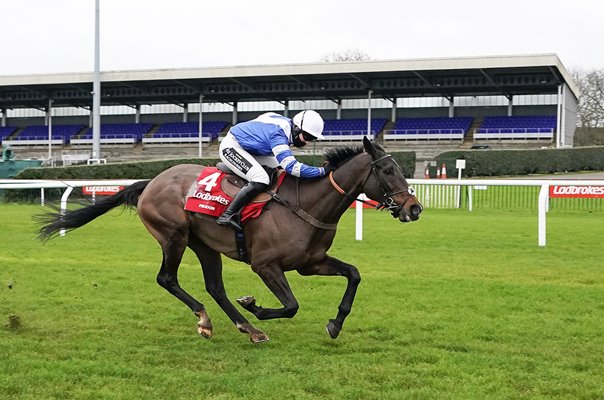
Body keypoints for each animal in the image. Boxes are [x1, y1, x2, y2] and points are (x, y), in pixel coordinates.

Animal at [40, 138, 422, 344]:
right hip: (174, 235)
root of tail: (151, 181)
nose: (414, 208)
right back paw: (209, 320)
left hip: (204, 245)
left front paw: (335, 323)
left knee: (214, 287)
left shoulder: (311, 263)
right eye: (388, 170)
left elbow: (354, 274)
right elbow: (291, 306)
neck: (307, 204)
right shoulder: (265, 265)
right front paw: (255, 305)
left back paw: (246, 328)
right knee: (167, 278)